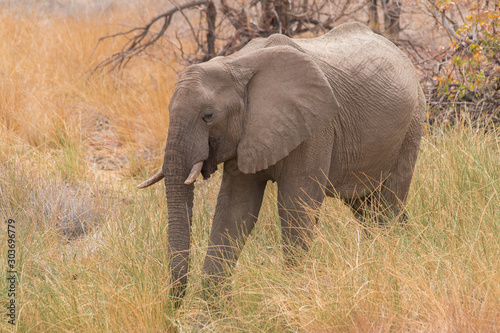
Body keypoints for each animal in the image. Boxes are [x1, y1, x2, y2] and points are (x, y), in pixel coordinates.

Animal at [138, 22, 426, 304]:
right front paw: (211, 310)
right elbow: (234, 210)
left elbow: (296, 207)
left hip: (412, 124)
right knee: (367, 207)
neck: (237, 65)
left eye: (208, 116)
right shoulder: (246, 134)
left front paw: (293, 295)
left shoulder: (315, 128)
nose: (175, 308)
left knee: (389, 202)